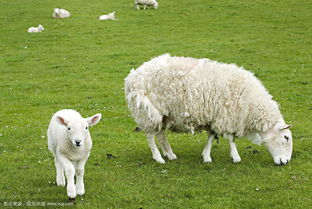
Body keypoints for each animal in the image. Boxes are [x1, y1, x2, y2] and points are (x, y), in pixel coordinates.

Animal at [124, 54, 292, 166]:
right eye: (286, 138)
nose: (285, 162)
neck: (251, 103)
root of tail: (131, 78)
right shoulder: (228, 116)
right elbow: (231, 138)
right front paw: (235, 157)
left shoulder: (216, 117)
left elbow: (211, 136)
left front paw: (206, 156)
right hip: (148, 112)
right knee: (150, 136)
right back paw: (158, 158)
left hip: (162, 114)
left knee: (160, 134)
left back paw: (170, 154)